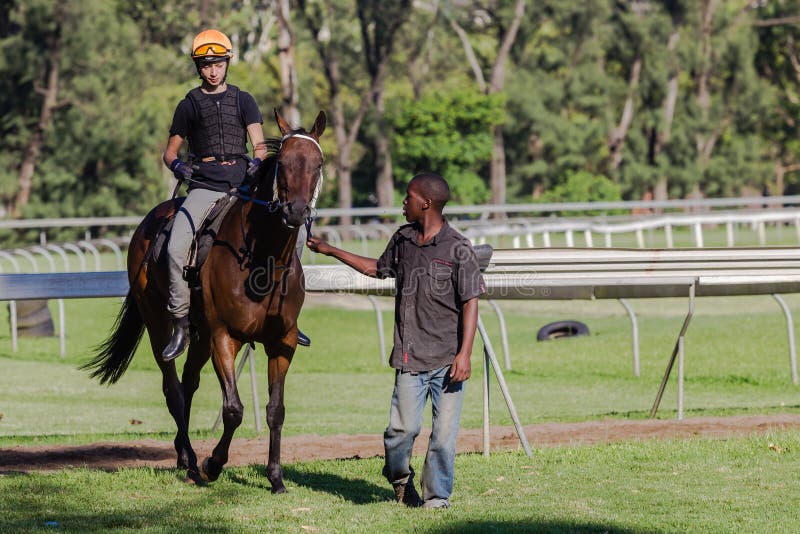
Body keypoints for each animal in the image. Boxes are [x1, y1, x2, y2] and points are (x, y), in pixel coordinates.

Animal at [83, 110, 324, 494]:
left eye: (317, 164)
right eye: (284, 163)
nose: (297, 212)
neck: (262, 261)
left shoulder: (281, 343)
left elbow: (275, 410)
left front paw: (275, 477)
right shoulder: (225, 338)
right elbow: (233, 409)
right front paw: (214, 464)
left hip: (200, 336)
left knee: (188, 383)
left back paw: (185, 456)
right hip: (161, 326)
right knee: (172, 389)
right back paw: (193, 461)